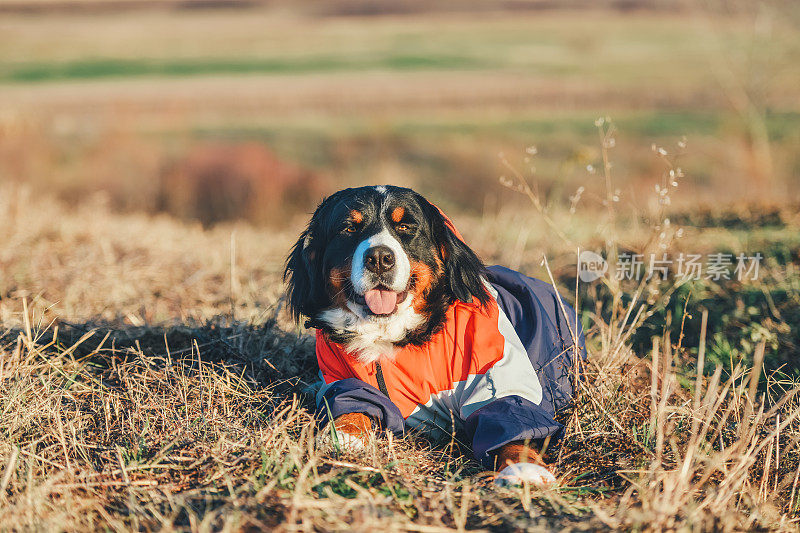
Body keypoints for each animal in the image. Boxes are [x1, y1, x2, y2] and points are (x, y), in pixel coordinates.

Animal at [284, 184, 584, 486]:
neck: (393, 335)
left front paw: (524, 469)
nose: (379, 258)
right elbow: (354, 403)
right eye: (348, 228)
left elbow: (510, 418)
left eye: (406, 226)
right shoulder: (342, 377)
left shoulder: (494, 373)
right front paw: (343, 434)